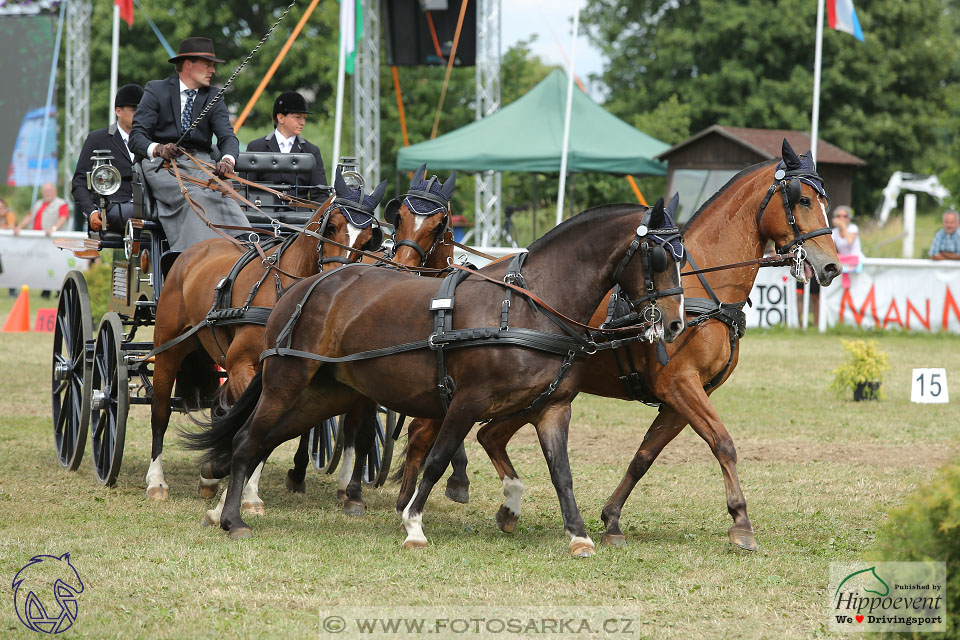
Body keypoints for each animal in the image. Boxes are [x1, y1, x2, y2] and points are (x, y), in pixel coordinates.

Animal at [146, 169, 386, 504]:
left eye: (367, 240)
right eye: (333, 226)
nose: (342, 278)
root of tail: (194, 249)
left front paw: (244, 490)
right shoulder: (241, 366)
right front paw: (239, 488)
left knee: (220, 408)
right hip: (168, 348)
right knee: (160, 412)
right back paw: (156, 481)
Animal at [184, 199, 688, 556]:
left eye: (684, 257)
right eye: (658, 258)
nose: (676, 323)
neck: (530, 305)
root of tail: (304, 287)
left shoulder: (552, 408)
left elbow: (561, 472)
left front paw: (579, 536)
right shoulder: (466, 402)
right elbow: (438, 458)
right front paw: (413, 525)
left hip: (323, 395)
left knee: (257, 440)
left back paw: (220, 509)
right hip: (286, 382)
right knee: (248, 440)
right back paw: (233, 519)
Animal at [404, 138, 840, 552]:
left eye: (825, 201)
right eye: (802, 199)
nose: (831, 266)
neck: (702, 288)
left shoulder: (682, 396)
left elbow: (644, 456)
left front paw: (611, 519)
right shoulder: (680, 385)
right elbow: (723, 443)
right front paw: (741, 522)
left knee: (490, 435)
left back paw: (503, 509)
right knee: (425, 433)